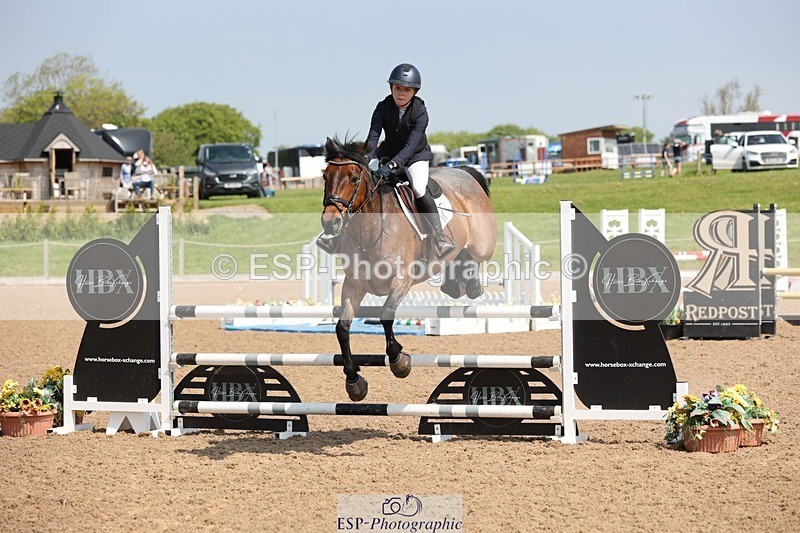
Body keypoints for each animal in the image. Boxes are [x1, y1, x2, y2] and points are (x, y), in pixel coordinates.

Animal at [320, 136, 497, 401]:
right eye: (325, 176)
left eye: (354, 178)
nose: (330, 223)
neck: (370, 231)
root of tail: (463, 171)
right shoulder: (354, 286)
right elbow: (342, 328)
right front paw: (354, 381)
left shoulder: (401, 282)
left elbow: (385, 315)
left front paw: (399, 361)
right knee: (456, 257)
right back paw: (454, 284)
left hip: (483, 244)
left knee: (474, 256)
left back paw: (472, 284)